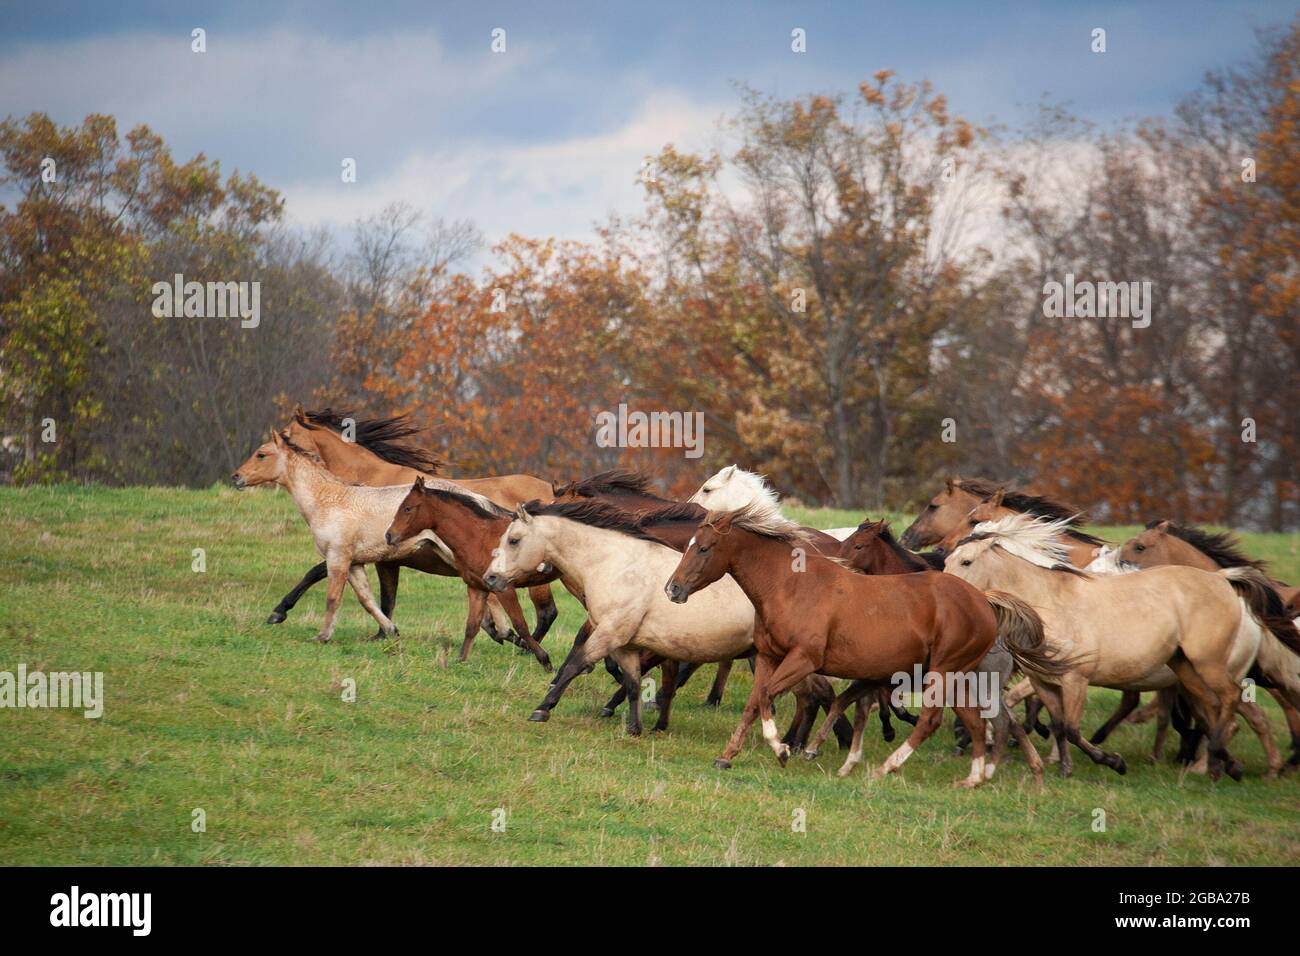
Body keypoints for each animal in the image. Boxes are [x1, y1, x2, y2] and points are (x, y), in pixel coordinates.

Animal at [233, 429, 553, 671]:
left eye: (261, 454)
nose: (236, 477)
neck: (329, 500)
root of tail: (478, 497)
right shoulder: (356, 563)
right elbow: (367, 599)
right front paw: (389, 631)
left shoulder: (338, 557)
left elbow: (332, 596)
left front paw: (317, 633)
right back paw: (506, 635)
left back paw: (513, 637)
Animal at [665, 504, 1060, 790]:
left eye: (704, 548)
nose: (672, 589)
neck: (790, 586)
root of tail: (984, 601)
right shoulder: (768, 657)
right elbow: (753, 705)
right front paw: (727, 756)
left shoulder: (803, 660)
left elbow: (767, 698)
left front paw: (782, 749)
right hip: (960, 677)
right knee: (978, 722)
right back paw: (974, 778)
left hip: (942, 672)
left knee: (933, 721)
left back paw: (886, 768)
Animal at [941, 515, 1294, 780]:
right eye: (946, 559)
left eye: (967, 561)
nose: (945, 592)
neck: (1049, 602)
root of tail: (1224, 580)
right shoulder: (1044, 681)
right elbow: (1058, 726)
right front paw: (1065, 768)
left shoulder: (1075, 678)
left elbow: (1071, 728)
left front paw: (1113, 762)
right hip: (1187, 672)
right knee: (1219, 714)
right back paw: (1225, 766)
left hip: (1210, 665)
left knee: (1233, 705)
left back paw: (1225, 765)